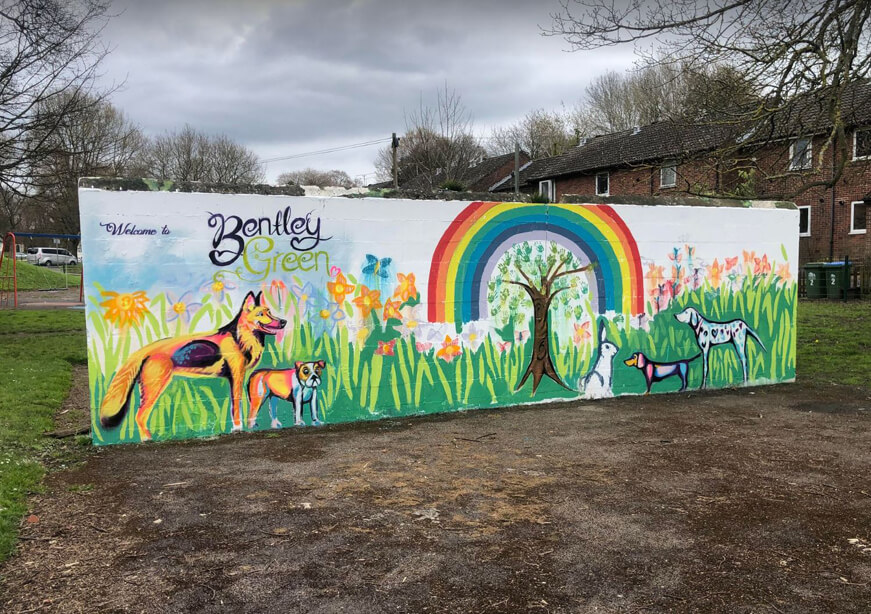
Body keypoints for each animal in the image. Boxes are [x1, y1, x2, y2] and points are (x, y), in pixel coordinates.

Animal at [101, 292, 286, 440]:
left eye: (270, 312)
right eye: (261, 314)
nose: (284, 321)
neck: (240, 338)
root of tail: (146, 350)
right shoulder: (236, 377)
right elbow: (236, 407)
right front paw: (237, 428)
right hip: (154, 389)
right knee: (139, 416)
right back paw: (147, 439)